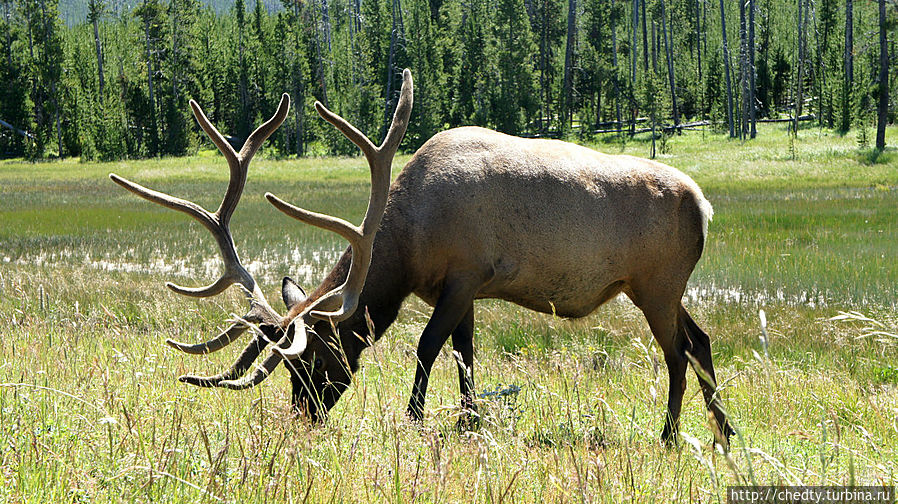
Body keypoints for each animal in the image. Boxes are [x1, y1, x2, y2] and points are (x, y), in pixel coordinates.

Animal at [108, 70, 732, 444]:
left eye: (315, 363)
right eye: (289, 368)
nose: (303, 418)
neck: (408, 242)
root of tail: (704, 206)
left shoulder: (466, 274)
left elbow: (428, 348)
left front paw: (414, 420)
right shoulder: (463, 291)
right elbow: (466, 356)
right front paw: (469, 424)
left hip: (656, 284)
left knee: (677, 354)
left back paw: (670, 437)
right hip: (661, 288)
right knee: (700, 341)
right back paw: (723, 432)